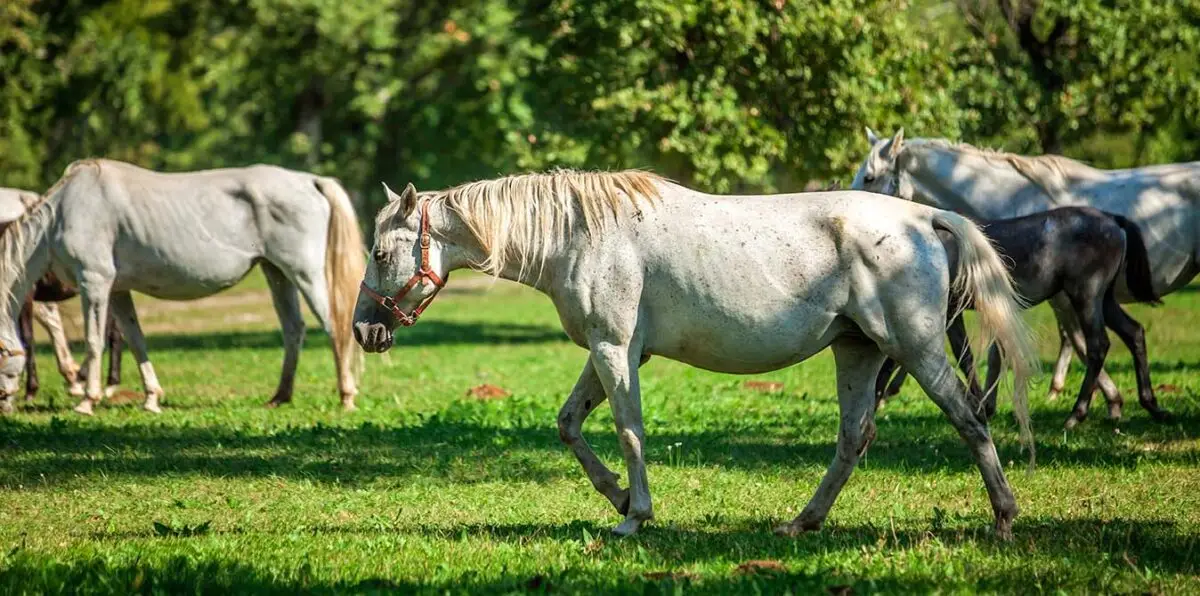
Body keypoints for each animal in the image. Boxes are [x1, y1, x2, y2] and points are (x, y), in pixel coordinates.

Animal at [352, 170, 1039, 538]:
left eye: (381, 253)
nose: (363, 331)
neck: (582, 235)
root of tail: (924, 219)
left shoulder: (615, 351)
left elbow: (629, 431)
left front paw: (634, 517)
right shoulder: (608, 353)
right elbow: (570, 425)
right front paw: (618, 498)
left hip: (915, 349)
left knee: (969, 418)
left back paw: (1004, 519)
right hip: (858, 353)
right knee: (853, 439)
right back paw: (801, 523)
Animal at [875, 207, 1168, 428]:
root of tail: (1111, 219)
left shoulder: (948, 312)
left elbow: (956, 356)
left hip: (1087, 296)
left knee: (1098, 346)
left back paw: (1076, 415)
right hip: (1105, 299)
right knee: (1134, 333)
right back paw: (1151, 404)